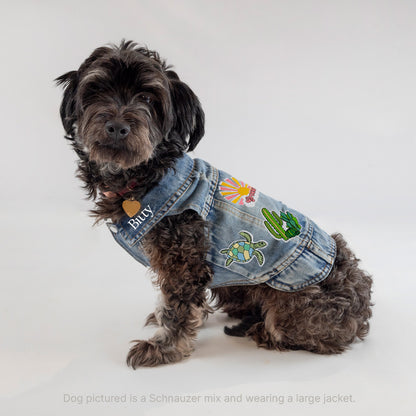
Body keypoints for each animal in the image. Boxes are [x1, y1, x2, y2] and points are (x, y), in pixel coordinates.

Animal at [56, 40, 374, 368]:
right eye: (97, 90)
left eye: (147, 97)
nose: (117, 126)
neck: (147, 175)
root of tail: (361, 313)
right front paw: (160, 319)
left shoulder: (184, 263)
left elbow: (178, 308)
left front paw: (164, 348)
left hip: (293, 305)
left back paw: (263, 332)